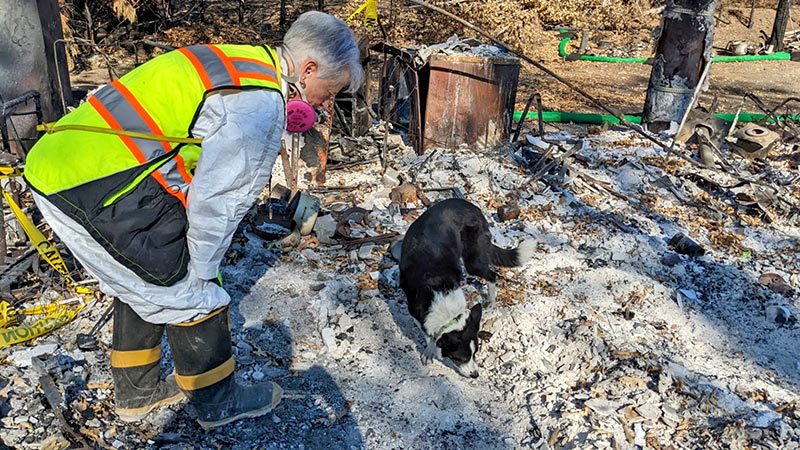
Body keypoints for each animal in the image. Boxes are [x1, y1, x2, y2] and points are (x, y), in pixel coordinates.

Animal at [398, 199, 536, 378]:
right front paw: (429, 350)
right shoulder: (416, 312)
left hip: (473, 261)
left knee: (492, 275)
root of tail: (471, 206)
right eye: (461, 358)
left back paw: (492, 301)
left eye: (475, 353)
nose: (475, 375)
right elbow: (428, 335)